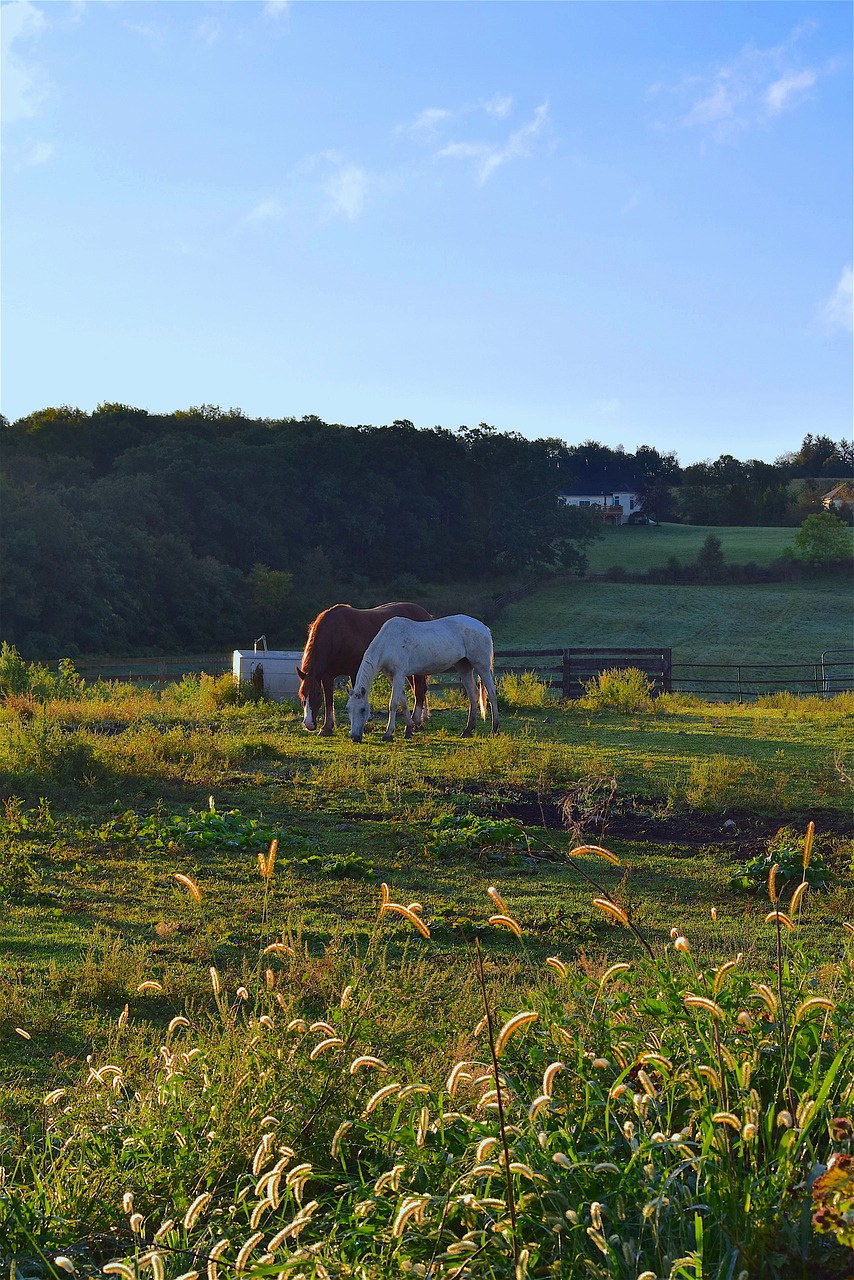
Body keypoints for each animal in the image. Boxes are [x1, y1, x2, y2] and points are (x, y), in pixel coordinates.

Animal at [300, 604, 435, 737]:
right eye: (302, 695)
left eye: (317, 694)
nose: (309, 724)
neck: (336, 635)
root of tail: (424, 613)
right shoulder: (327, 677)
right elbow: (329, 700)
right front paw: (326, 728)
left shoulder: (354, 672)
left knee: (419, 691)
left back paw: (417, 722)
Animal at [345, 616, 496, 747]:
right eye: (348, 709)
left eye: (362, 709)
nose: (354, 737)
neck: (388, 642)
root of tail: (482, 627)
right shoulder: (392, 677)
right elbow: (403, 703)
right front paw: (409, 729)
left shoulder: (399, 674)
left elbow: (393, 704)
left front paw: (388, 733)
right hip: (464, 667)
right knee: (473, 694)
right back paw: (468, 730)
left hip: (482, 666)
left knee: (491, 692)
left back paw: (494, 729)